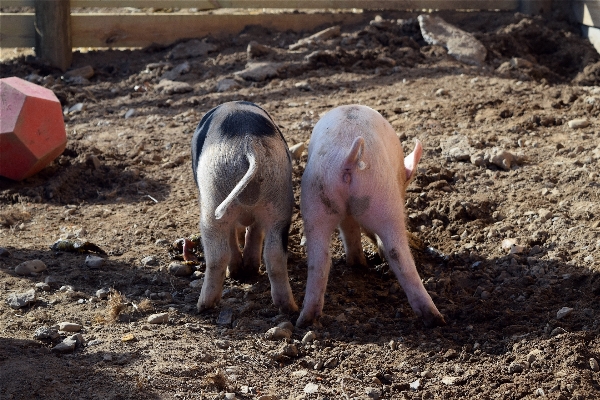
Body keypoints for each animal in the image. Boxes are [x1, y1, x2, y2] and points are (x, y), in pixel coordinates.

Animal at [191, 100, 296, 312]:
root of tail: (249, 145)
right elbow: (255, 231)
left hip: (213, 199)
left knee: (217, 256)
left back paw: (204, 305)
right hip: (279, 200)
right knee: (274, 256)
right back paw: (289, 307)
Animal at [296, 104, 446, 328]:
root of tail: (349, 159)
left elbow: (349, 228)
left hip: (316, 197)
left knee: (319, 259)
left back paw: (306, 319)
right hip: (383, 195)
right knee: (398, 253)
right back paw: (436, 319)